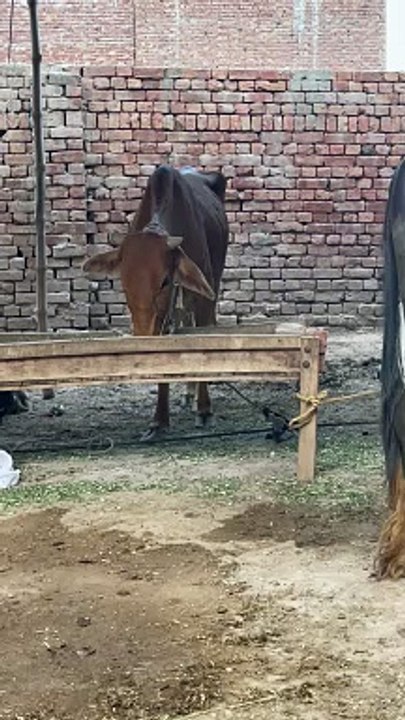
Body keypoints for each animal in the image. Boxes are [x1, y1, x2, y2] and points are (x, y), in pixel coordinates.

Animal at [83, 165, 229, 441]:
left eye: (164, 281)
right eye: (124, 282)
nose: (142, 336)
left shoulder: (200, 297)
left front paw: (205, 410)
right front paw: (159, 420)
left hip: (210, 283)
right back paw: (188, 393)